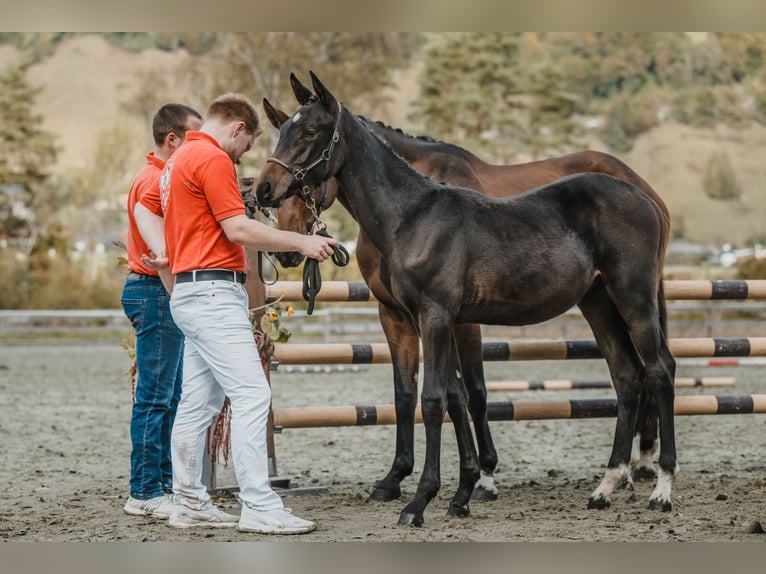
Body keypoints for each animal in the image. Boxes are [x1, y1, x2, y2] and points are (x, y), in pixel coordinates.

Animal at [258, 70, 680, 528]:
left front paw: (420, 501)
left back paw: (661, 488)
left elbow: (434, 399)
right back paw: (605, 487)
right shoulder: (422, 318)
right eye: (282, 129)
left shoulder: (437, 316)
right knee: (627, 375)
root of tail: (646, 197)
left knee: (660, 371)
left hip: (634, 298)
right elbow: (453, 397)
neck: (412, 217)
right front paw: (460, 495)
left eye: (310, 130)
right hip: (598, 303)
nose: (264, 189)